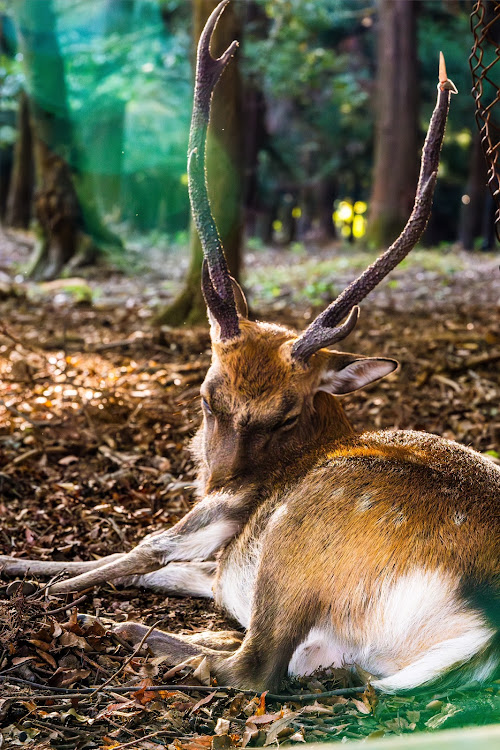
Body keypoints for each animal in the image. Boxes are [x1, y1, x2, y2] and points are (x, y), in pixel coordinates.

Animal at [0, 0, 500, 696]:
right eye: (208, 396)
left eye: (287, 416)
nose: (220, 478)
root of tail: (481, 630)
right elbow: (146, 562)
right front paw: (22, 564)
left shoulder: (218, 517)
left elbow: (144, 545)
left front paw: (54, 586)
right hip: (337, 633)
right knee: (292, 655)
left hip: (303, 530)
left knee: (255, 666)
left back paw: (133, 633)